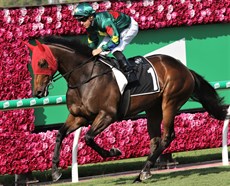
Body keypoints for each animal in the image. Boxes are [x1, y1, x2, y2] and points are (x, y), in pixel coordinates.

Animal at [23, 36, 226, 183]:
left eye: (42, 62)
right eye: (32, 64)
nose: (38, 92)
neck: (84, 77)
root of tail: (184, 68)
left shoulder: (107, 115)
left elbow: (88, 138)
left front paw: (113, 152)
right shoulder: (78, 116)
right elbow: (59, 134)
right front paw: (55, 171)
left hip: (170, 102)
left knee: (167, 136)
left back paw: (143, 172)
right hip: (153, 108)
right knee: (156, 139)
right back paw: (146, 170)